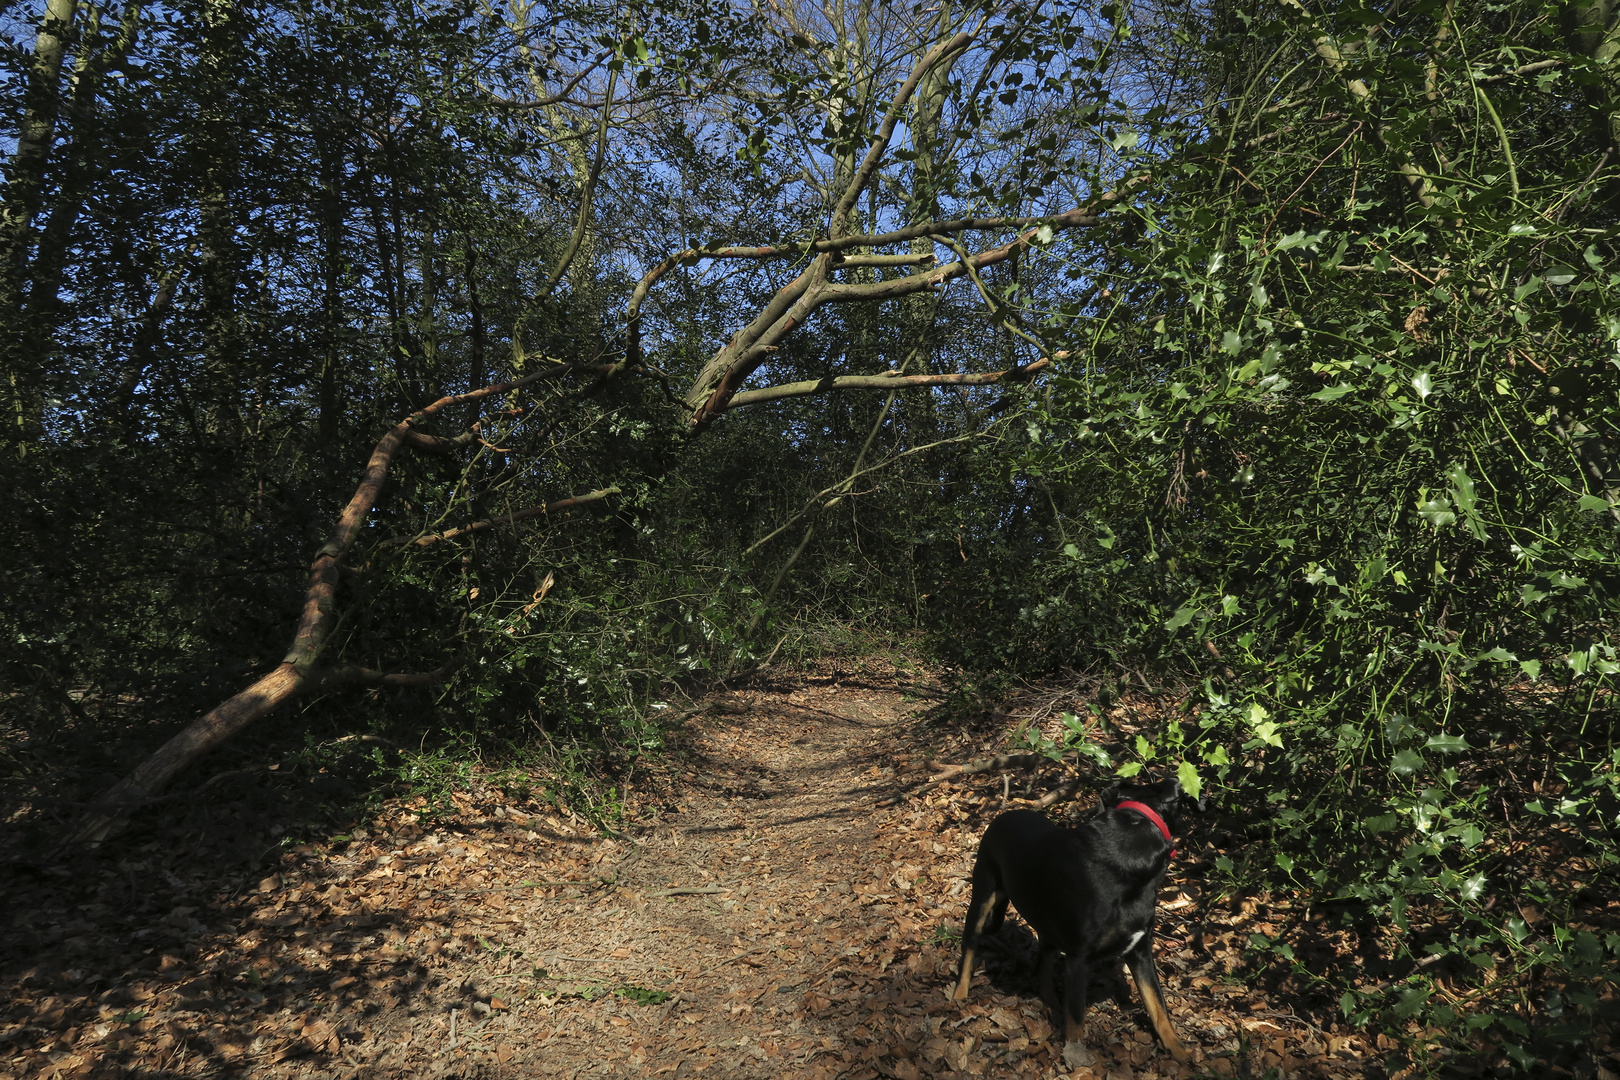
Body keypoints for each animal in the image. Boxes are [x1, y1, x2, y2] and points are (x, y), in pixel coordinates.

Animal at [946, 777, 1205, 1062]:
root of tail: (1005, 813)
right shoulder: (1079, 959)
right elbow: (1077, 1019)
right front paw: (1078, 1056)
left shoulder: (1140, 951)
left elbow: (1159, 1008)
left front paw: (1180, 1053)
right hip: (982, 897)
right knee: (969, 949)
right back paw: (959, 997)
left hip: (1047, 925)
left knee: (1043, 966)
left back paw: (1051, 1003)